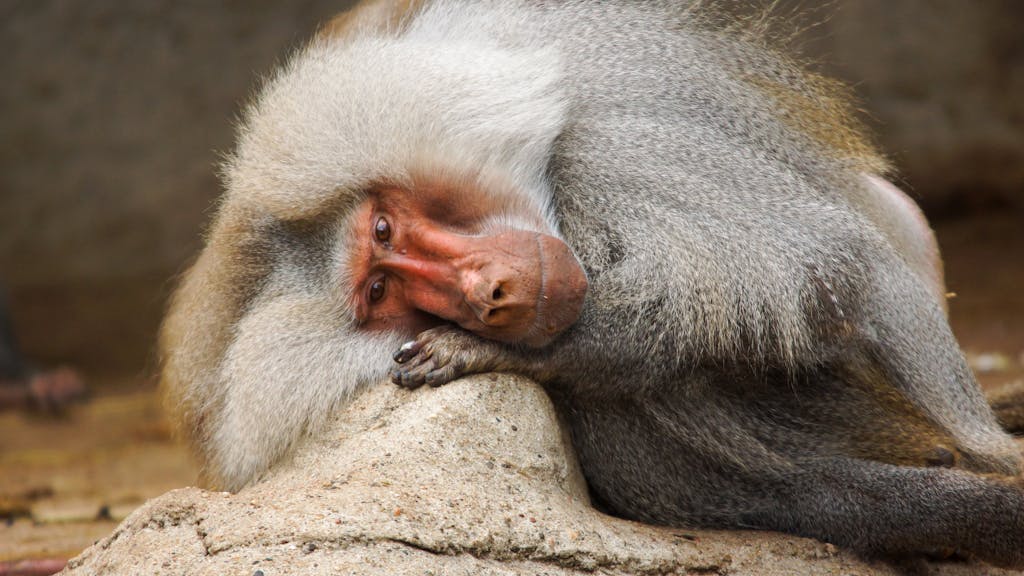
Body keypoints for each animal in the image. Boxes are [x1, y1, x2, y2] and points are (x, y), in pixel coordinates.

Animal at [160, 0, 1024, 567]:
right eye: (378, 295)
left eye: (383, 232)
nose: (487, 297)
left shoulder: (614, 154)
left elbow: (818, 270)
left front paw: (500, 354)